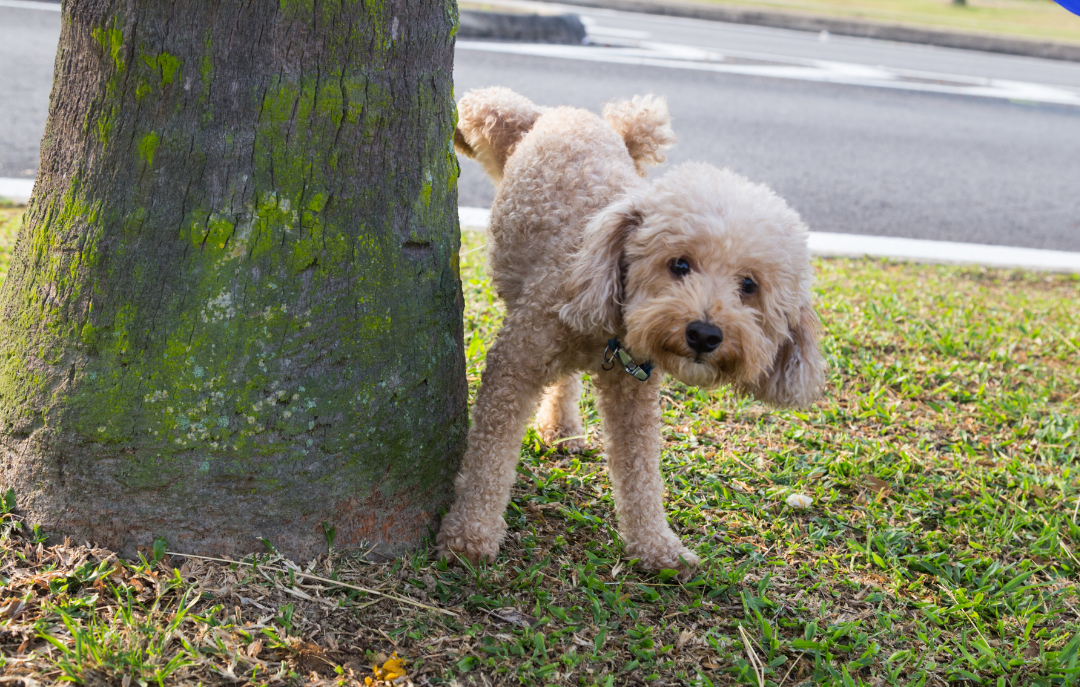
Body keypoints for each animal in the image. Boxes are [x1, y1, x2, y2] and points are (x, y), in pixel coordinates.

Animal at [434, 86, 820, 574]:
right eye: (679, 264)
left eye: (749, 286)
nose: (704, 335)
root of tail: (571, 115)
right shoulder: (515, 364)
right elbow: (489, 456)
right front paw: (471, 533)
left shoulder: (633, 392)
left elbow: (640, 471)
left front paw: (656, 545)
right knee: (487, 102)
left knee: (566, 382)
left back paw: (562, 428)